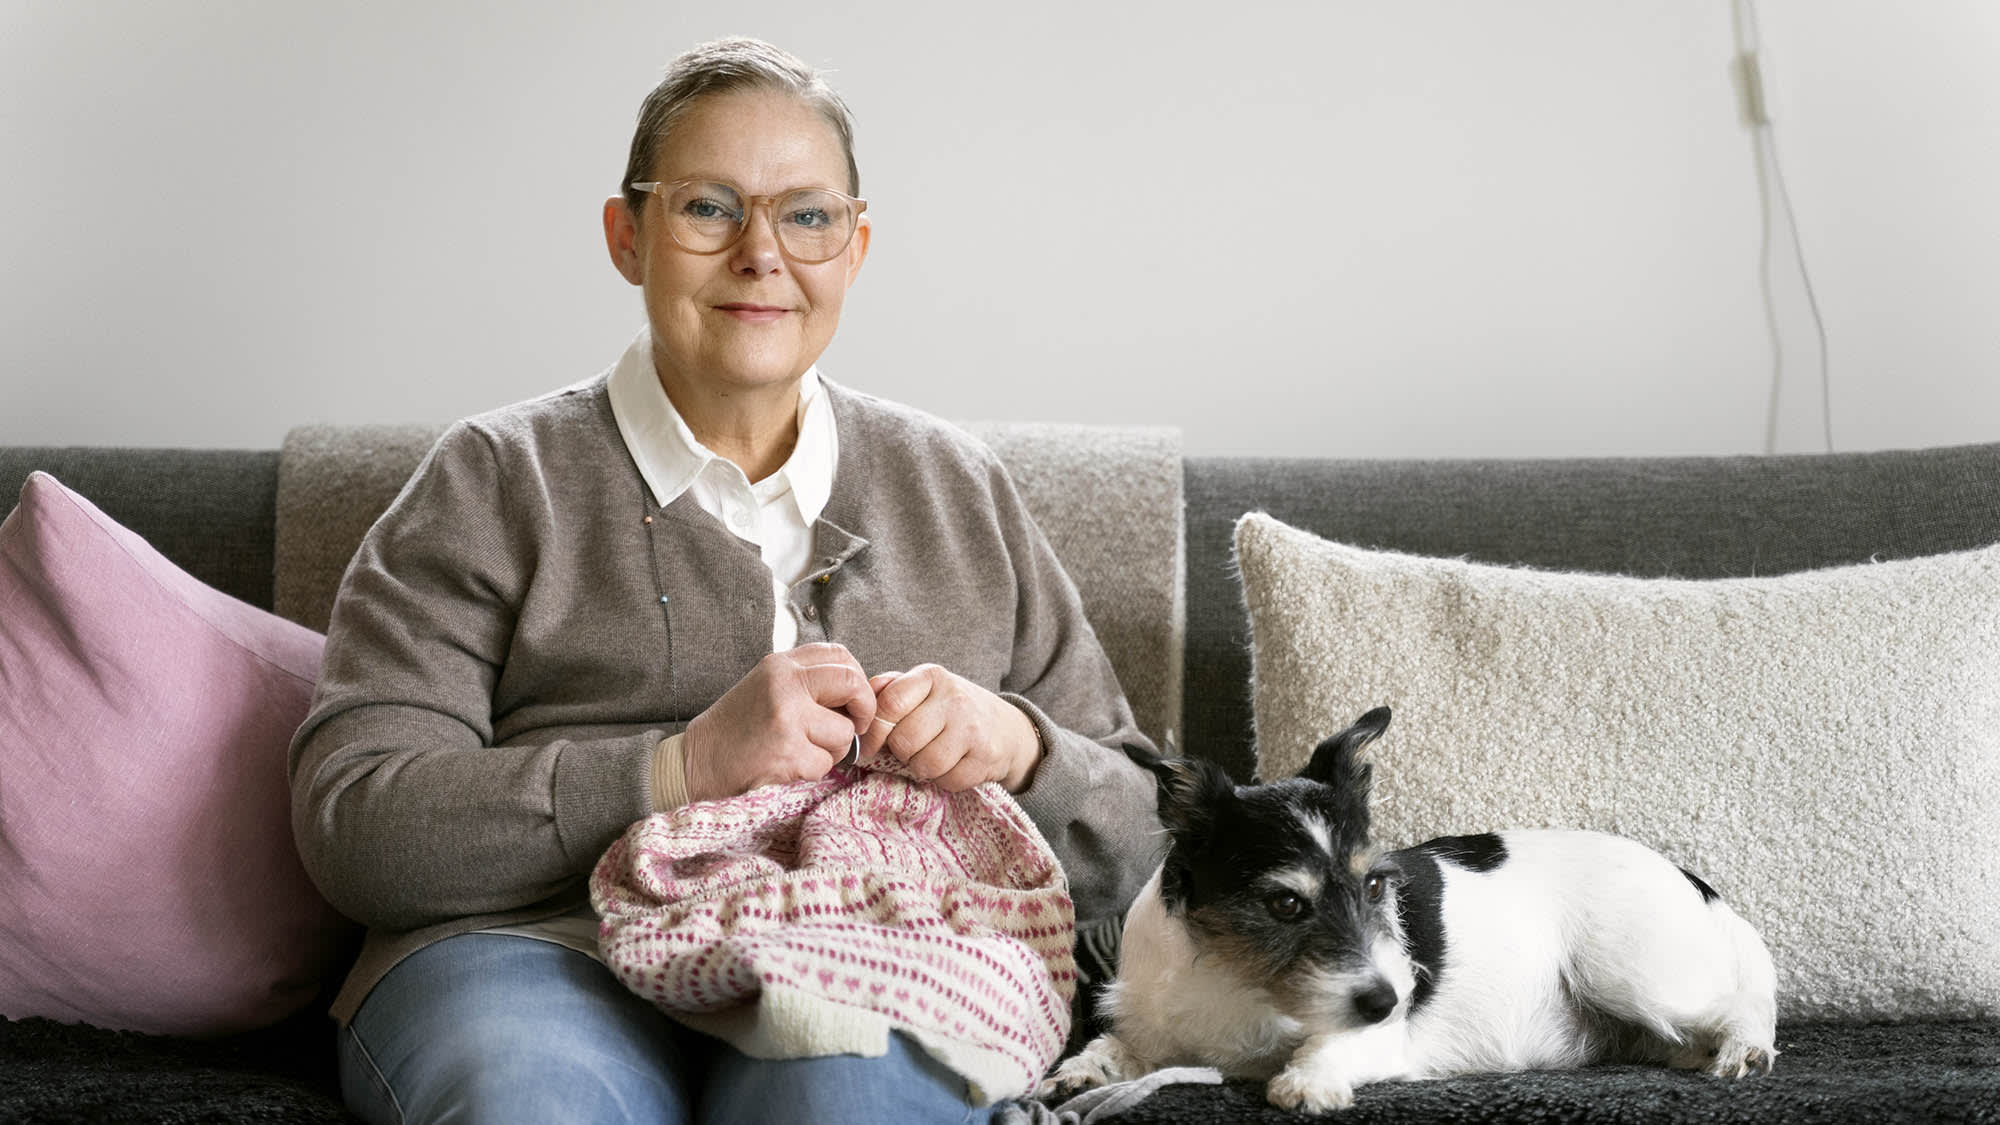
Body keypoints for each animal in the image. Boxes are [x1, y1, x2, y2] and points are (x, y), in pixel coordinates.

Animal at [1040, 704, 1776, 1104]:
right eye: (1285, 903)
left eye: (1374, 886)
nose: (1388, 998)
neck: (1237, 976)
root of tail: (1689, 878)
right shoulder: (1156, 1030)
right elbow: (1117, 1048)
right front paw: (1082, 1069)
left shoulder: (1380, 1034)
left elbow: (1333, 1046)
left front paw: (1310, 1079)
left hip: (1634, 975)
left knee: (1745, 998)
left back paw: (1745, 1047)